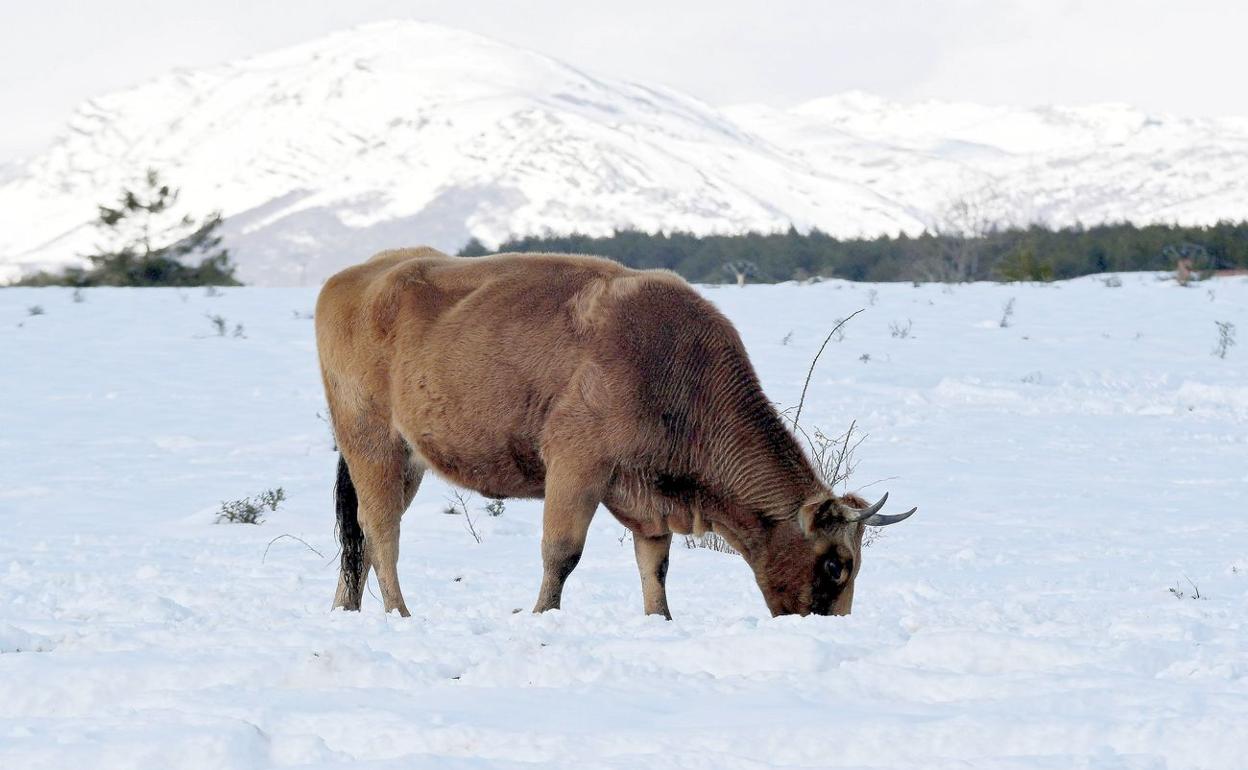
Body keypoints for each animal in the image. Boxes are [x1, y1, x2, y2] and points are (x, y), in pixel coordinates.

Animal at [315, 247, 915, 619]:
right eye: (836, 563)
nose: (834, 624)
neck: (674, 367)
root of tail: (356, 275)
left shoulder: (650, 500)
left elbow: (657, 565)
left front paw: (660, 620)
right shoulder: (576, 468)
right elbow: (561, 553)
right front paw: (543, 616)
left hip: (407, 461)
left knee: (363, 535)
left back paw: (347, 609)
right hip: (374, 446)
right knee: (380, 531)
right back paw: (400, 612)